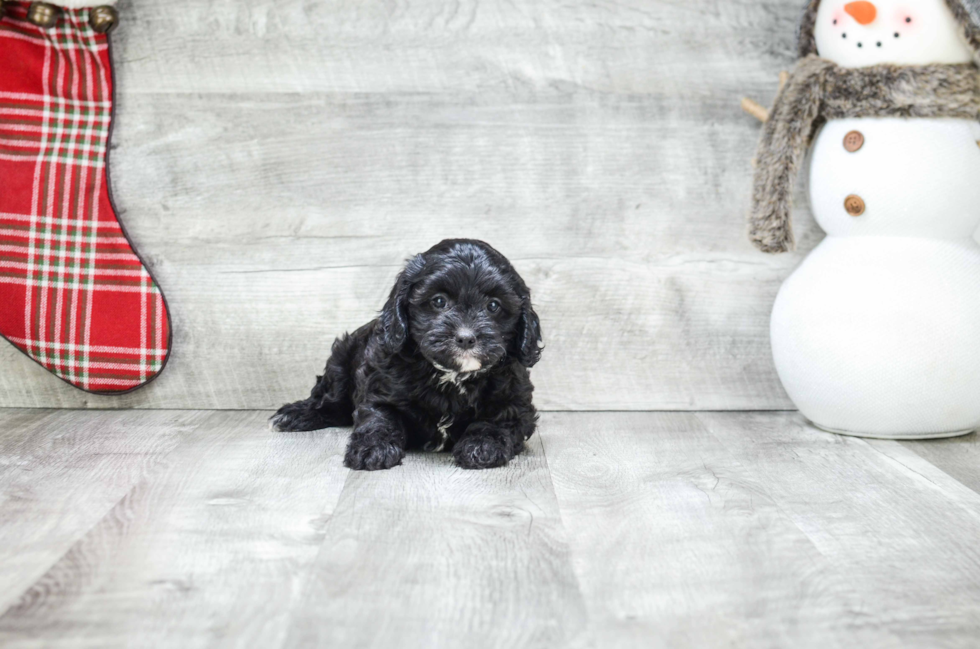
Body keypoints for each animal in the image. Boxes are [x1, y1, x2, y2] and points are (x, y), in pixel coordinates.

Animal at [268, 238, 544, 470]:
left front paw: (482, 446)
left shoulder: (515, 403)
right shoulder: (379, 388)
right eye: (439, 301)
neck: (451, 376)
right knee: (329, 400)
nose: (466, 337)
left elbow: (496, 421)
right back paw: (296, 414)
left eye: (493, 306)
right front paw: (372, 448)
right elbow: (380, 418)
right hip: (340, 363)